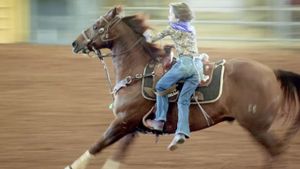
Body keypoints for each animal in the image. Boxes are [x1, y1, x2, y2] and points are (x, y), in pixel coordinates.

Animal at [66, 5, 300, 169]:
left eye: (97, 25)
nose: (75, 43)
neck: (140, 72)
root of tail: (272, 73)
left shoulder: (123, 121)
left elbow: (98, 144)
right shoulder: (131, 126)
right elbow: (118, 153)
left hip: (258, 126)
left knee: (276, 151)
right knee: (273, 153)